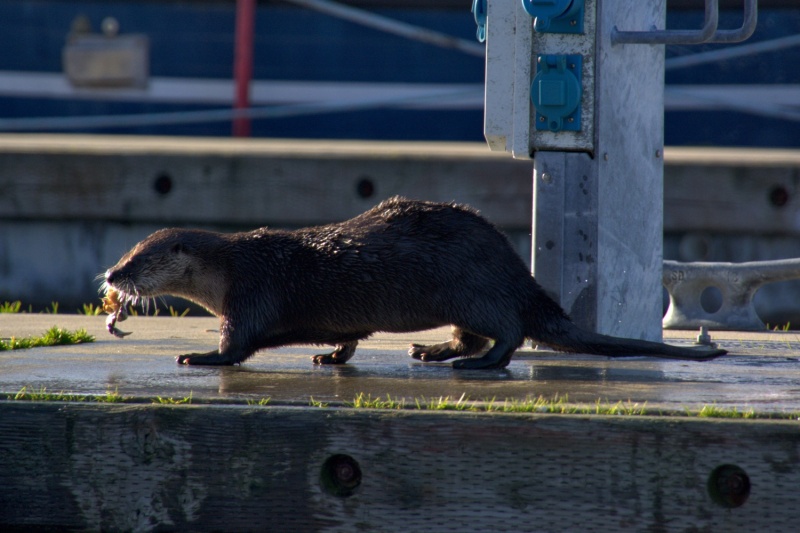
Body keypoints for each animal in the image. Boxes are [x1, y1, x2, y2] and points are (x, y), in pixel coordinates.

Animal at [103, 197, 725, 369]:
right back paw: (432, 350)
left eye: (139, 257)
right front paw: (331, 356)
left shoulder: (251, 294)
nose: (110, 274)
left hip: (474, 288)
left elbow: (236, 344)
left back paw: (473, 364)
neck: (233, 266)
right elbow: (347, 338)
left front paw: (200, 356)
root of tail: (517, 273)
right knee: (474, 333)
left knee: (507, 333)